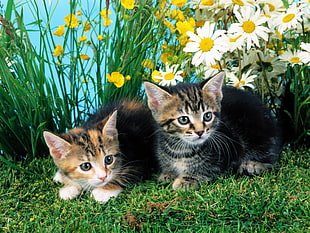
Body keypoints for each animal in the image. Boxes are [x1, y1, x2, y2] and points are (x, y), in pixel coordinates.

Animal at [144, 72, 282, 189]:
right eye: (183, 119)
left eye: (207, 116)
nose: (200, 131)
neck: (182, 149)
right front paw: (168, 173)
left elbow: (209, 168)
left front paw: (187, 179)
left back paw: (253, 165)